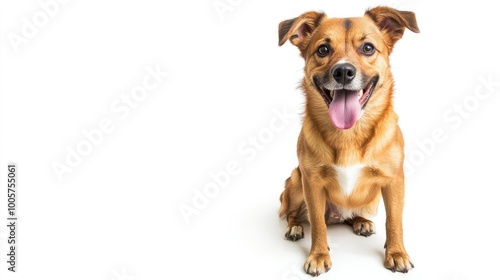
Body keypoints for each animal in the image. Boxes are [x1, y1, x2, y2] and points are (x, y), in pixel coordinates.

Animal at [278, 6, 418, 276]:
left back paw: (361, 221)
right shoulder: (311, 182)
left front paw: (396, 253)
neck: (349, 133)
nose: (343, 71)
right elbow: (317, 224)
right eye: (323, 49)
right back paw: (295, 227)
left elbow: (394, 220)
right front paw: (318, 255)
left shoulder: (394, 180)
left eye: (368, 48)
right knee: (294, 214)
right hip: (295, 181)